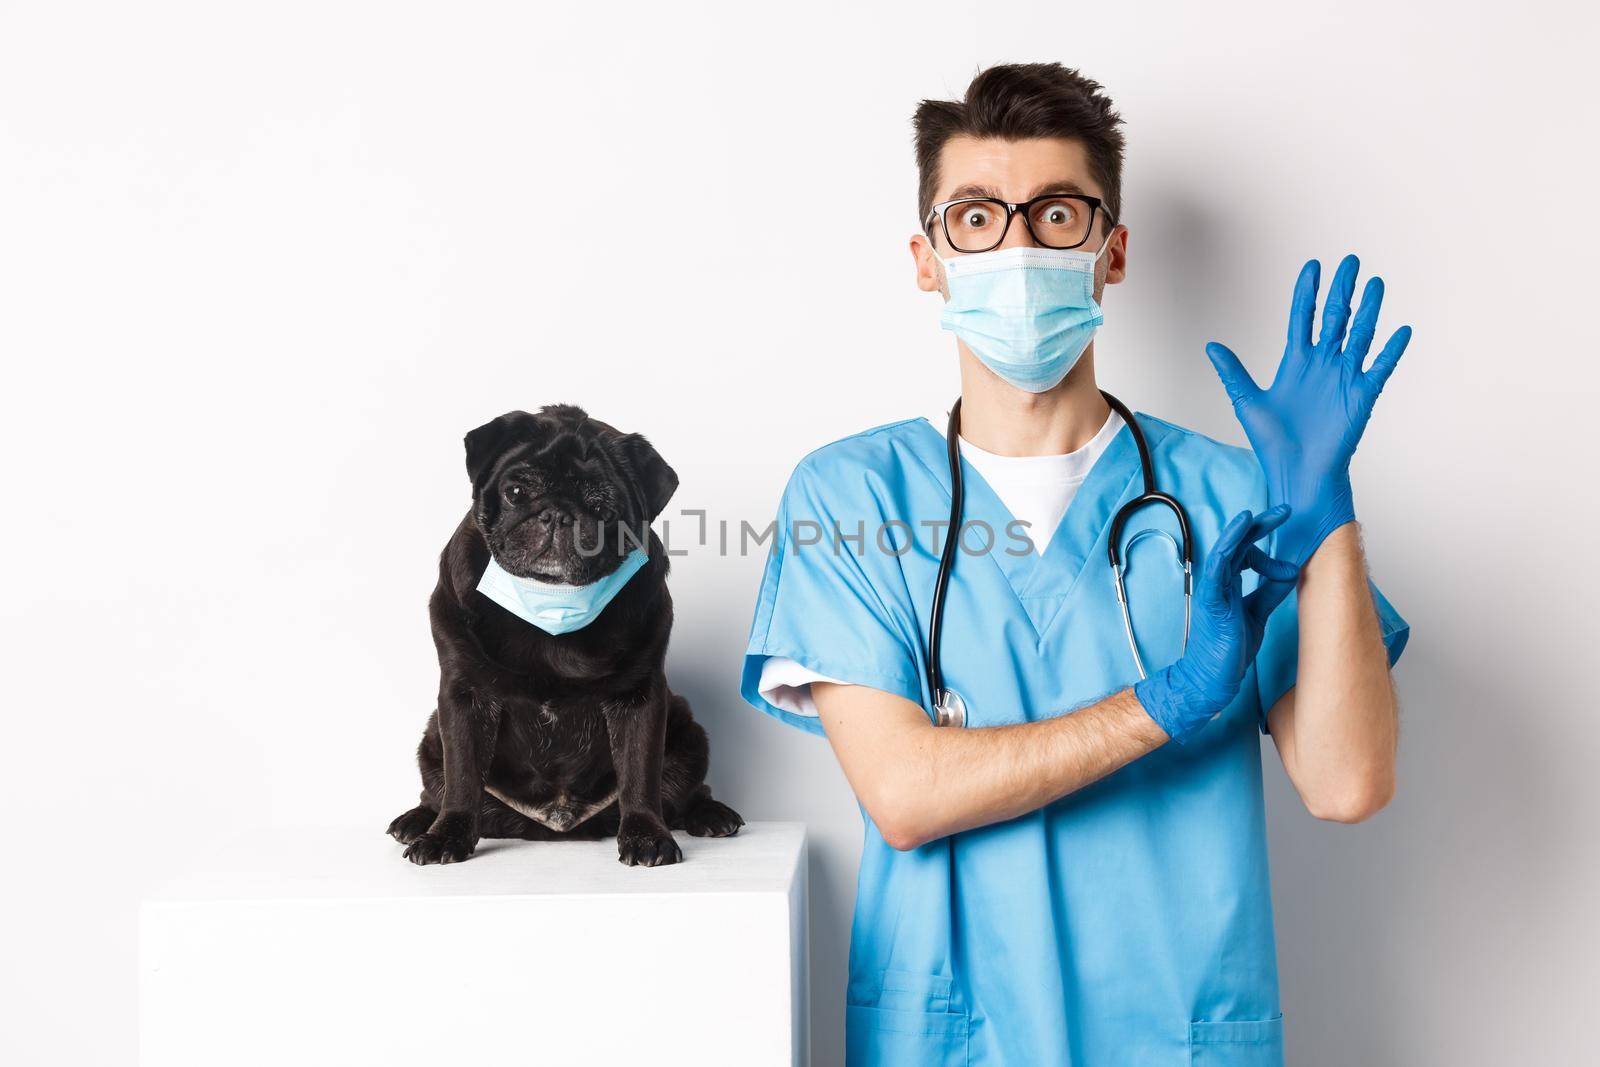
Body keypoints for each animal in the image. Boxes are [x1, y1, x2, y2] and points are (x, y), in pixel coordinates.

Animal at [387, 404, 742, 863]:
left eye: (604, 509)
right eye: (516, 492)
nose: (557, 514)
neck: (551, 604)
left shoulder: (640, 699)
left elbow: (640, 774)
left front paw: (646, 835)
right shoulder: (464, 698)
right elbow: (462, 775)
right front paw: (447, 836)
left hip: (686, 728)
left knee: (684, 791)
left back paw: (710, 814)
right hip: (433, 735)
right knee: (438, 787)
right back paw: (417, 821)